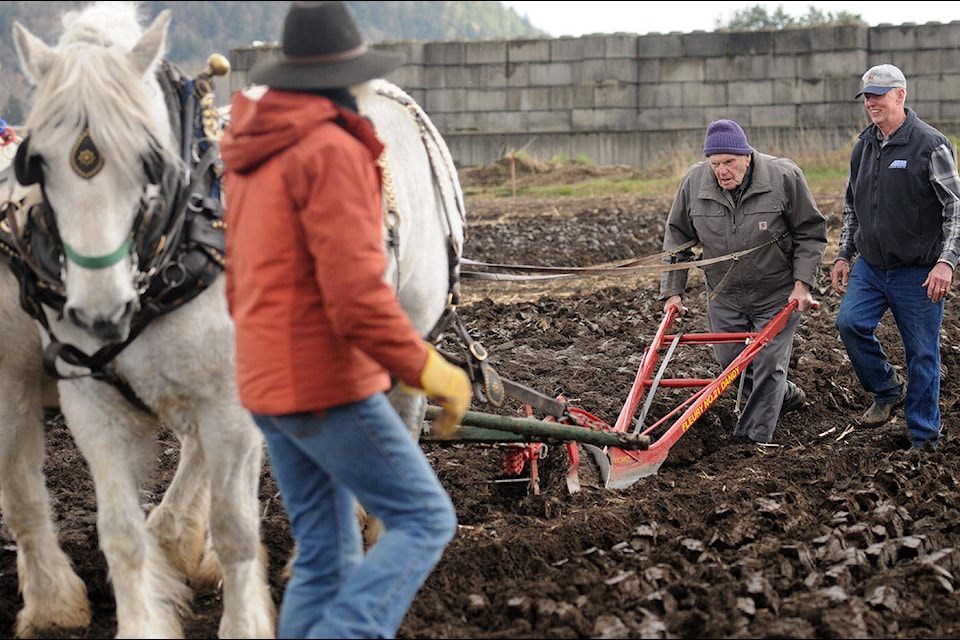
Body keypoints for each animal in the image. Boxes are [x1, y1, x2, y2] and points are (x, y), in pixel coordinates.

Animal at [2, 2, 274, 636]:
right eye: (36, 163)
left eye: (149, 159)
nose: (101, 311)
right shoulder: (54, 391)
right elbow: (96, 523)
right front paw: (64, 606)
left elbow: (235, 519)